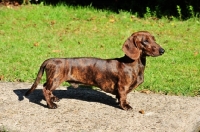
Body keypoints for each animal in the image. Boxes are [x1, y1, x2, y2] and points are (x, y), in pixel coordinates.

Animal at [25, 31, 165, 110]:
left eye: (154, 39)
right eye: (145, 41)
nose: (163, 50)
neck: (132, 64)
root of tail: (50, 60)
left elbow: (120, 97)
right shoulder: (123, 86)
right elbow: (123, 97)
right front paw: (125, 106)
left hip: (53, 79)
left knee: (46, 87)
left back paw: (53, 98)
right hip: (56, 79)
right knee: (45, 89)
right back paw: (51, 105)